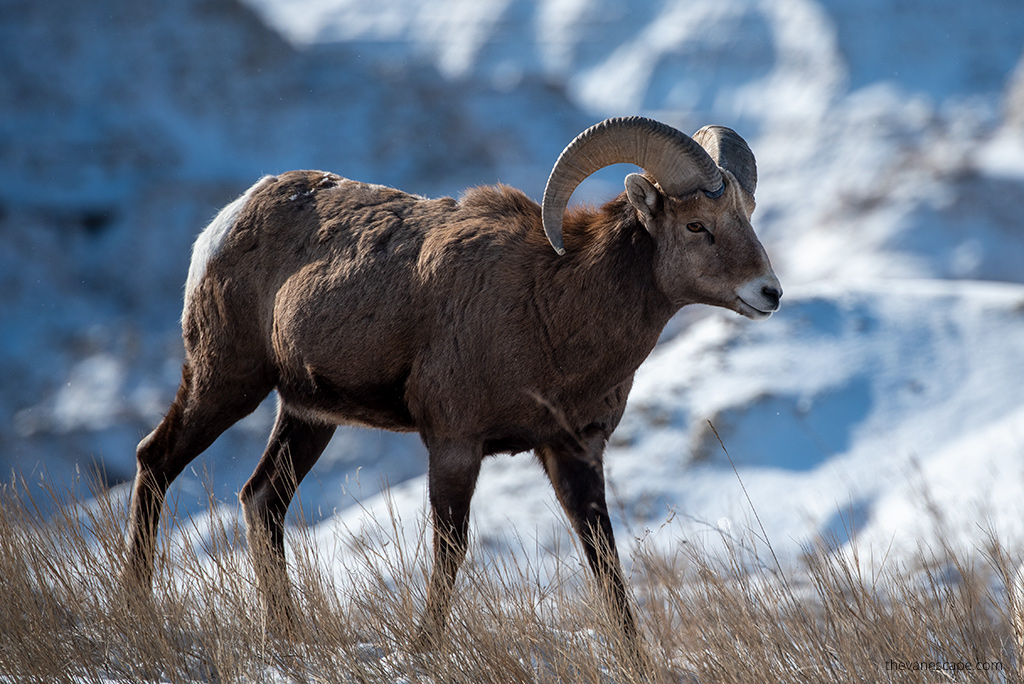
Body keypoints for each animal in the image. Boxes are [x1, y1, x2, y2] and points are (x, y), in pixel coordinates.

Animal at [125, 116, 782, 651]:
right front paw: (424, 648)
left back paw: (286, 634)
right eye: (696, 226)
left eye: (745, 218)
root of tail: (226, 222)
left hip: (308, 417)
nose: (769, 293)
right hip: (227, 381)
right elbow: (450, 551)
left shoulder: (574, 450)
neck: (552, 306)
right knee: (156, 459)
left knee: (262, 501)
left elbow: (604, 558)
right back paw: (140, 611)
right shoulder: (454, 445)